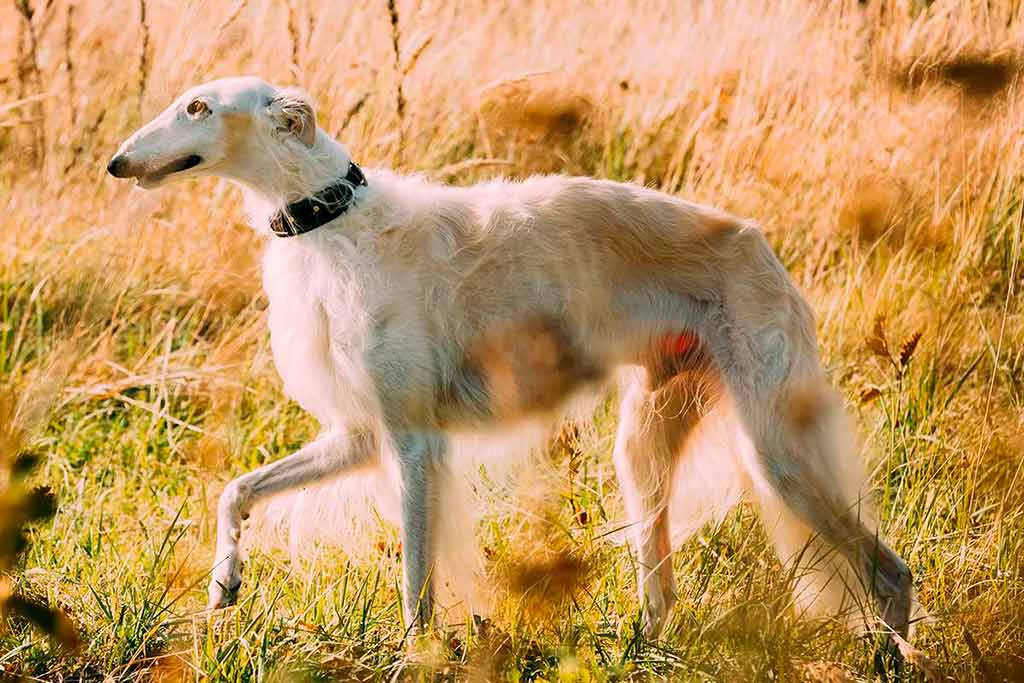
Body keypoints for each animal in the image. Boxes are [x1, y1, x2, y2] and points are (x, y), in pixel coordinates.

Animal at [108, 77, 917, 643]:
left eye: (198, 107)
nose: (116, 163)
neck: (332, 220)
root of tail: (757, 242)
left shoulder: (414, 444)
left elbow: (416, 583)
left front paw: (416, 655)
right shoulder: (362, 434)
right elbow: (236, 490)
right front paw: (224, 582)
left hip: (777, 450)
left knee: (890, 573)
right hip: (646, 447)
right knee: (663, 592)